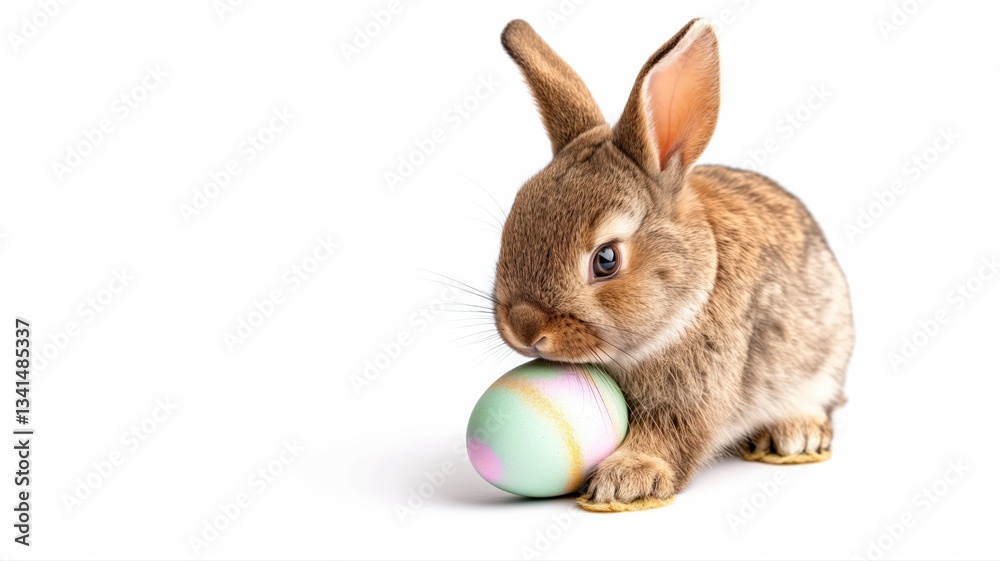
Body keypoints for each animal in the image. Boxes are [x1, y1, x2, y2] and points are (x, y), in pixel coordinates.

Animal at [491, 18, 855, 508]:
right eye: (513, 222)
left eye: (606, 260)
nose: (525, 328)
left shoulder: (696, 391)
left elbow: (670, 433)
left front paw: (625, 481)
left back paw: (796, 434)